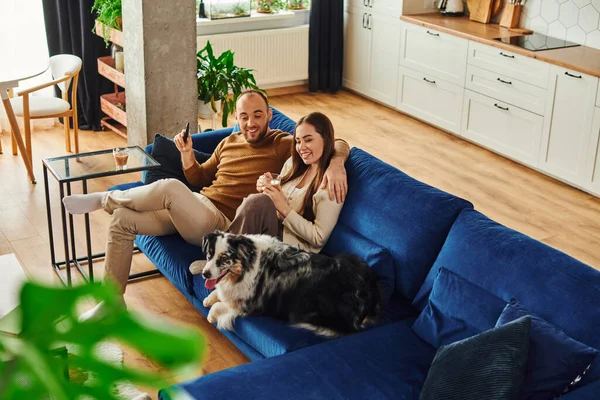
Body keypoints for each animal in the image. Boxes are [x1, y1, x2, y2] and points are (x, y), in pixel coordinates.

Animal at [190, 231, 382, 338]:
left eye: (224, 259)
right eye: (209, 254)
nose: (205, 273)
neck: (247, 265)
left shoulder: (251, 304)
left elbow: (223, 306)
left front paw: (211, 314)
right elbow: (218, 293)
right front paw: (209, 298)